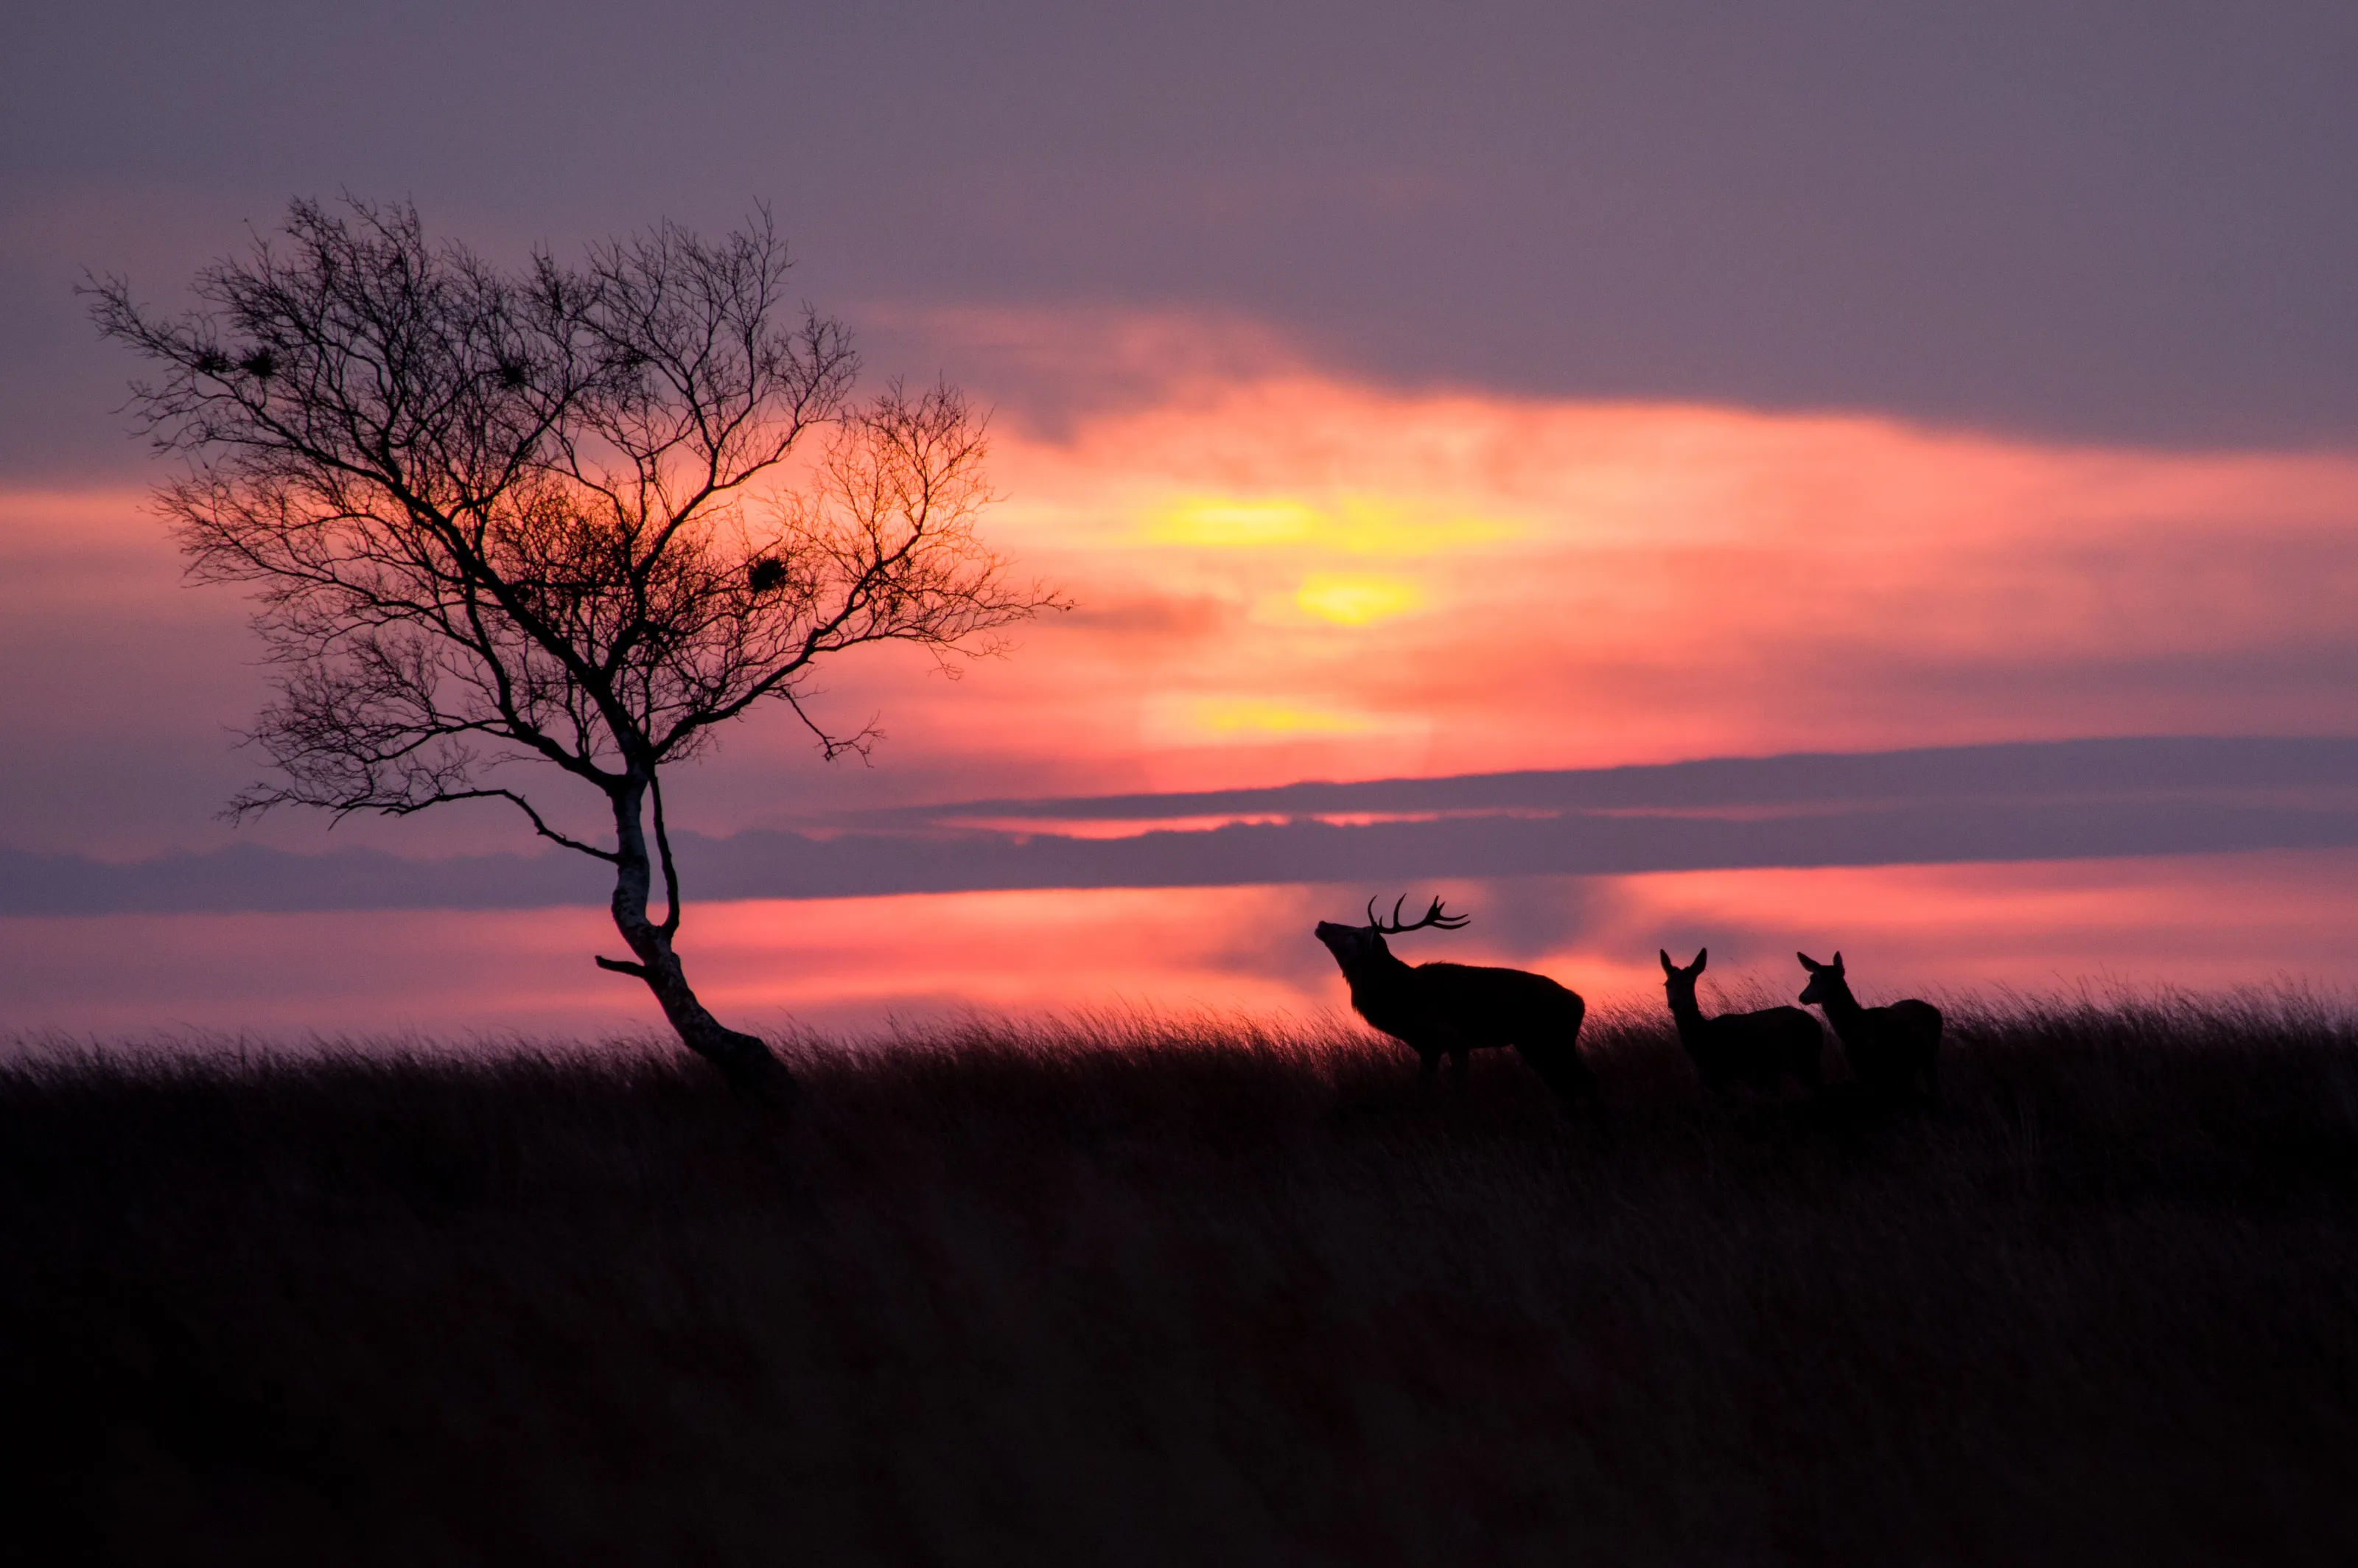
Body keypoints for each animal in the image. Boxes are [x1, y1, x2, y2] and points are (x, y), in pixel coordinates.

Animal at [1313, 895, 1594, 1105]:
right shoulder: (1428, 1046)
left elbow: (1458, 1088)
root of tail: (1579, 1003)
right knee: (1567, 1083)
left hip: (1550, 1038)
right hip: (1535, 1043)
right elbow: (1423, 1087)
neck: (1402, 998)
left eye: (1354, 933)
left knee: (1580, 1080)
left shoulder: (1454, 1038)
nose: (1322, 923)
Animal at [1659, 948, 1822, 1095]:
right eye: (1667, 984)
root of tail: (1817, 1026)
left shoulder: (1721, 1073)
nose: (1674, 1002)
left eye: (1688, 983)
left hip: (1803, 1060)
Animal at [1795, 951, 1941, 1102]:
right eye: (1811, 977)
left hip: (1929, 1056)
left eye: (1816, 979)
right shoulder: (1858, 1071)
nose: (1802, 997)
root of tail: (1936, 1010)